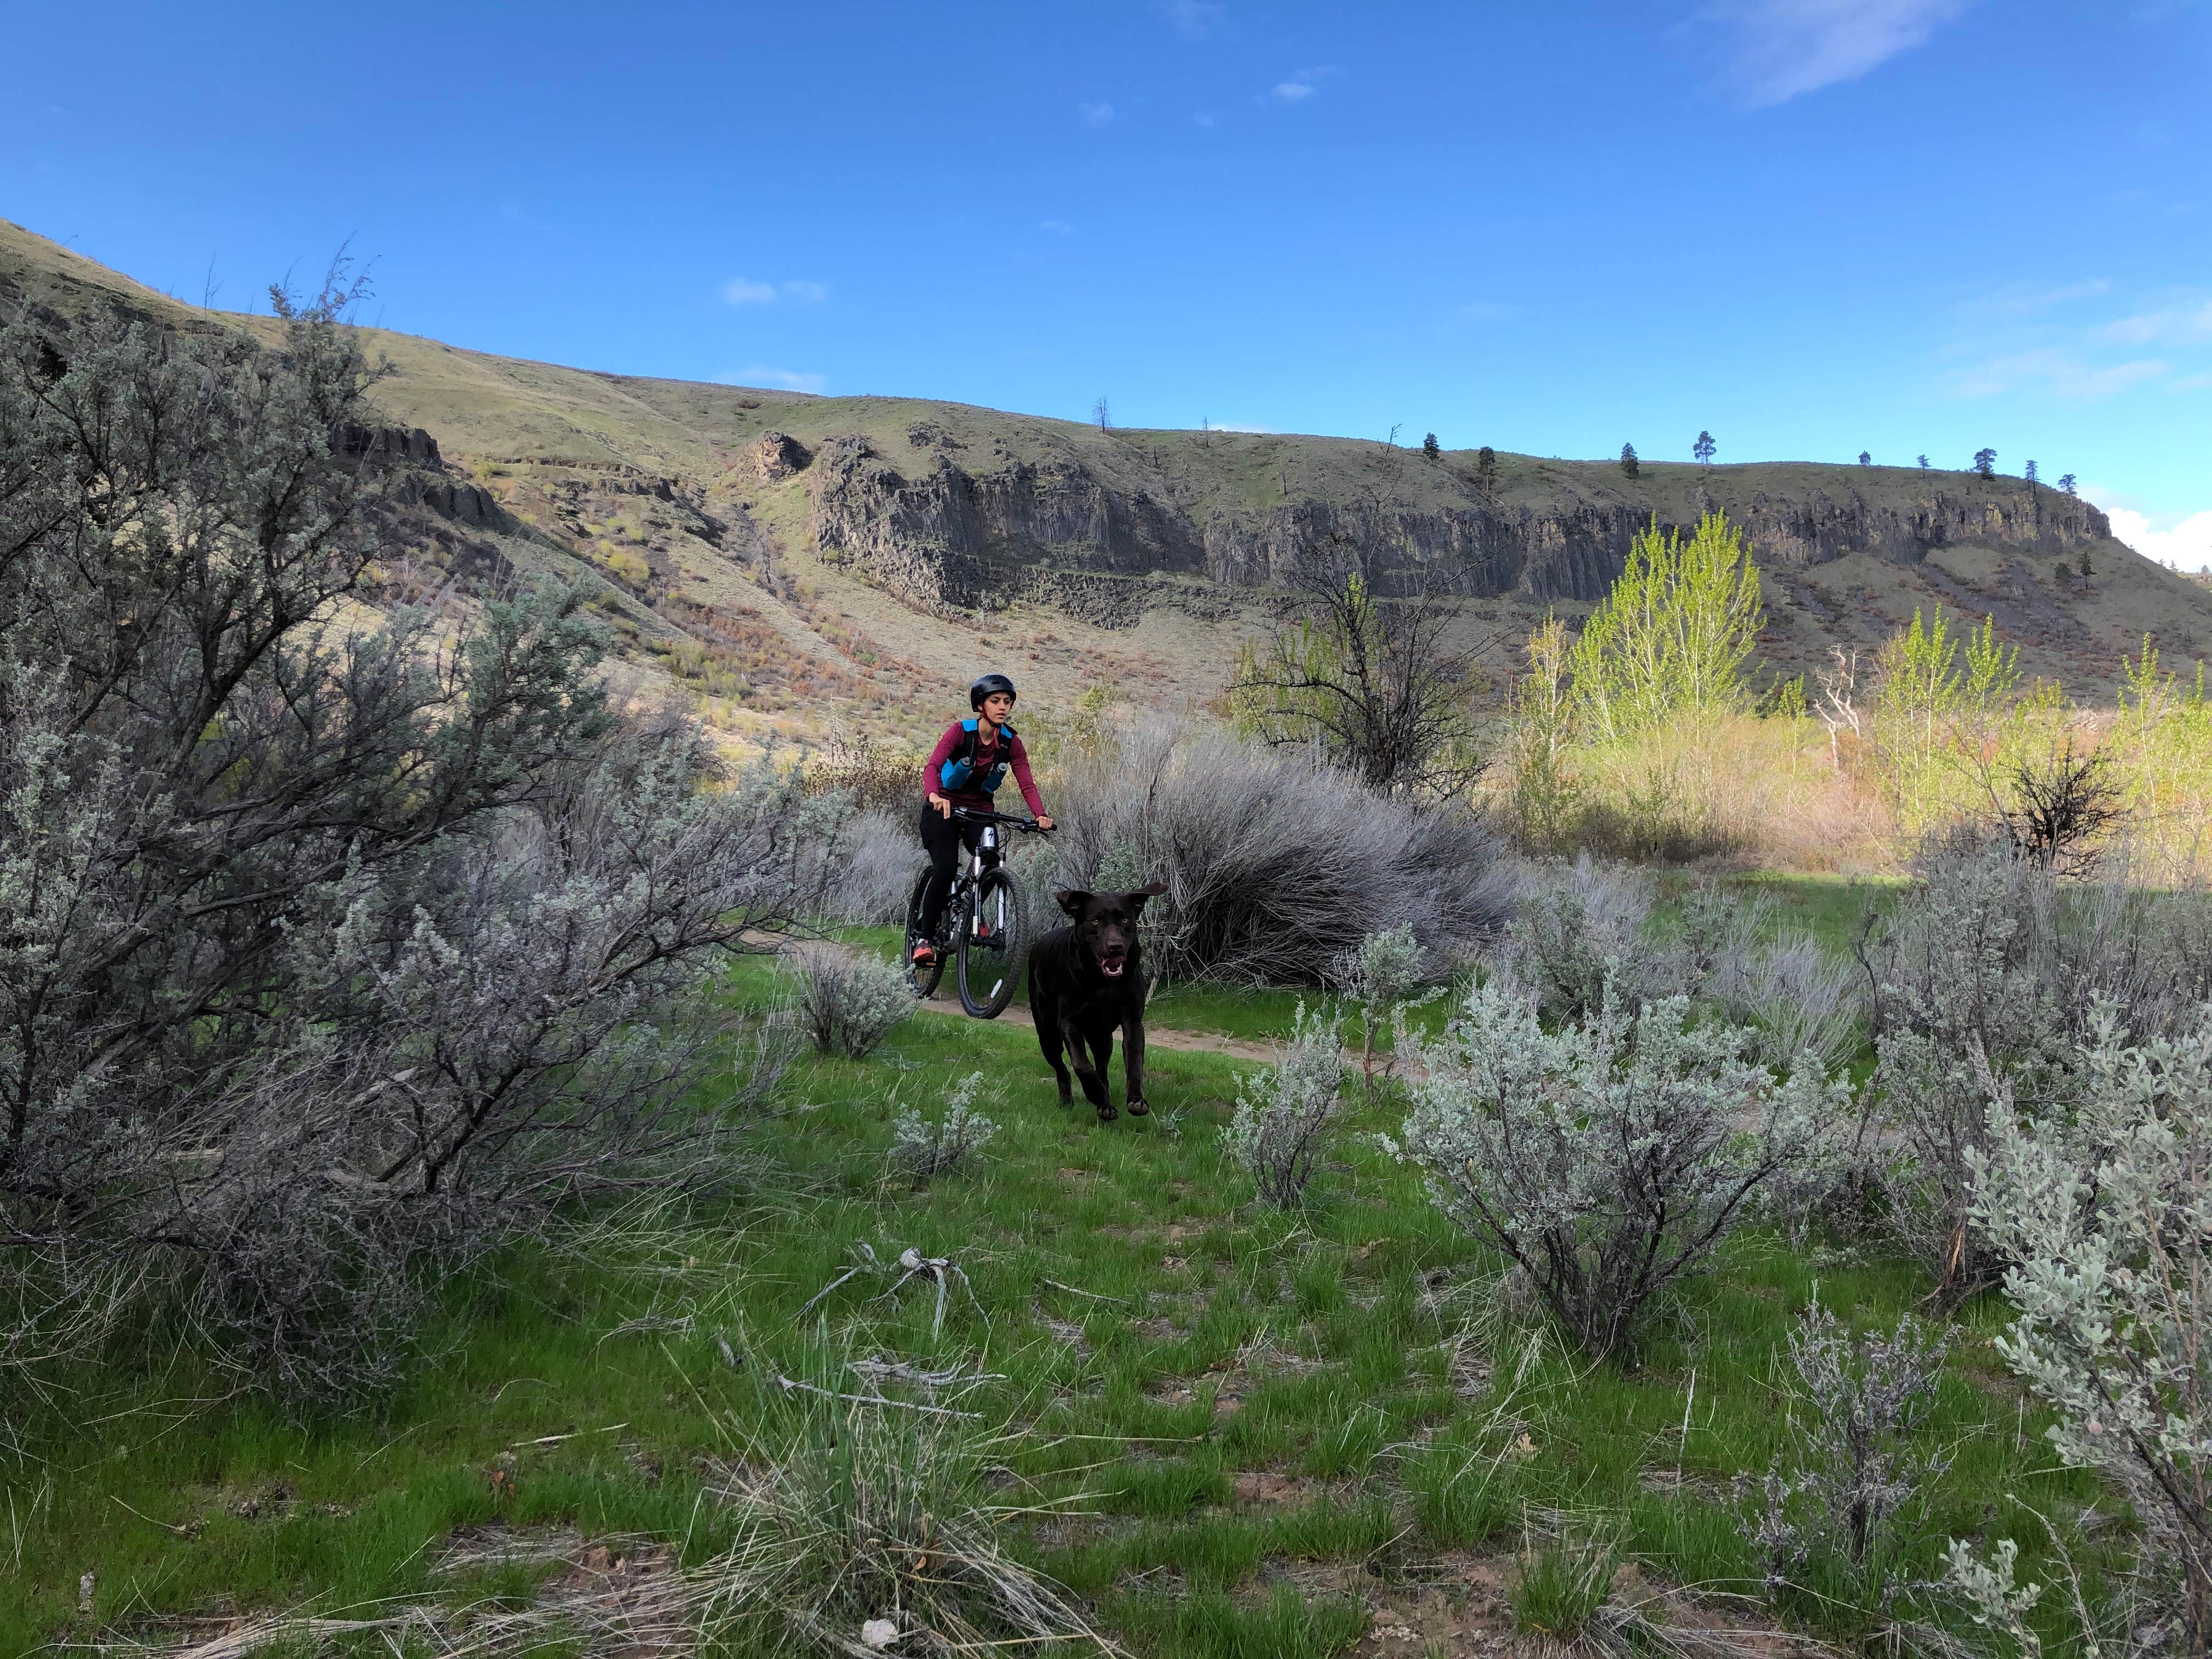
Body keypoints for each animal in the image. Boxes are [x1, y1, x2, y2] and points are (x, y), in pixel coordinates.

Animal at [1035, 884, 1177, 1132]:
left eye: (1125, 919)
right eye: (1095, 921)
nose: (1115, 947)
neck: (1103, 983)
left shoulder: (1133, 1020)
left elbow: (1134, 1060)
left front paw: (1136, 1100)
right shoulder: (1069, 1022)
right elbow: (1081, 1064)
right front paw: (1094, 1093)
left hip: (1102, 1039)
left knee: (1102, 1069)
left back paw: (1106, 1107)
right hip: (1048, 1034)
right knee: (1062, 1069)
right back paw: (1073, 1100)